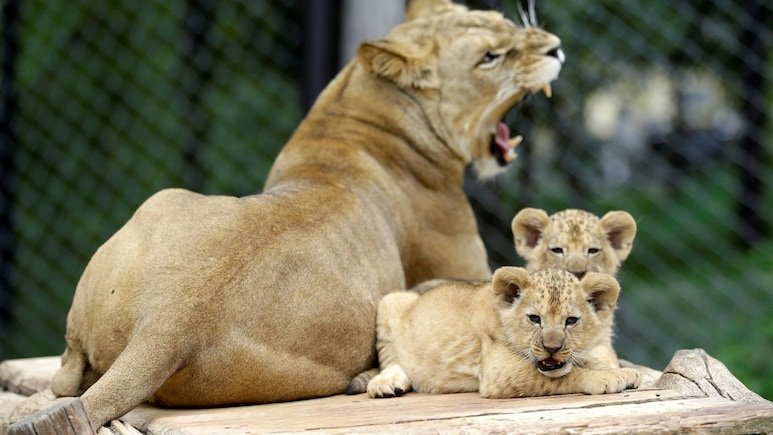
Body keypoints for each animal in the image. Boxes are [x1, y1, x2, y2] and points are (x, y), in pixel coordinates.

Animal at [10, 0, 564, 432]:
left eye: (504, 21)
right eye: (490, 57)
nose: (556, 48)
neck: (362, 108)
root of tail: (168, 325)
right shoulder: (467, 273)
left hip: (158, 204)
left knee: (65, 377)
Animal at [367, 267, 641, 398]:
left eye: (571, 321)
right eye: (534, 319)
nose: (551, 349)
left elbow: (601, 357)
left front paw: (623, 371)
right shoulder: (499, 373)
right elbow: (563, 377)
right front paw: (604, 377)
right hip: (391, 301)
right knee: (390, 357)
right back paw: (387, 383)